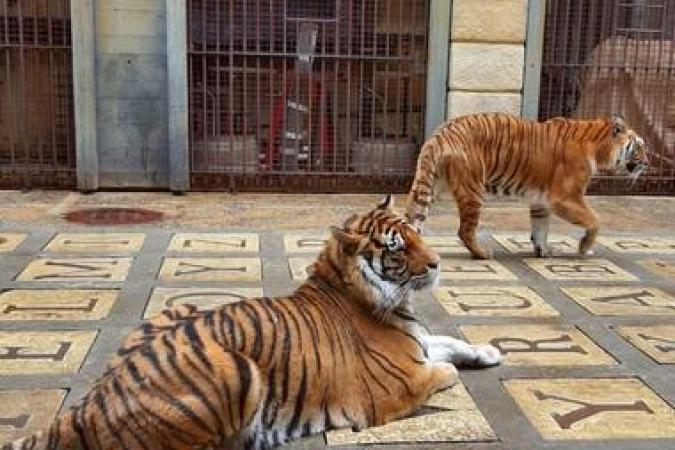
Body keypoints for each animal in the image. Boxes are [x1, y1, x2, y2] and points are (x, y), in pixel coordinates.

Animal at [2, 197, 502, 450]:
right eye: (397, 247)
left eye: (417, 231)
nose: (438, 263)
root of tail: (86, 407)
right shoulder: (396, 385)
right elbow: (443, 369)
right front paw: (458, 368)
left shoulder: (418, 342)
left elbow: (449, 341)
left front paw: (490, 351)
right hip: (238, 369)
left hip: (178, 311)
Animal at [406, 112, 648, 258]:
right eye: (639, 146)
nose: (647, 163)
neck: (599, 146)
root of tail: (440, 134)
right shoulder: (565, 197)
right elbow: (595, 220)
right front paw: (584, 248)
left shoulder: (541, 201)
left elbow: (540, 228)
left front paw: (543, 252)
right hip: (472, 190)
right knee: (465, 230)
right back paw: (483, 254)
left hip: (427, 186)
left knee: (411, 220)